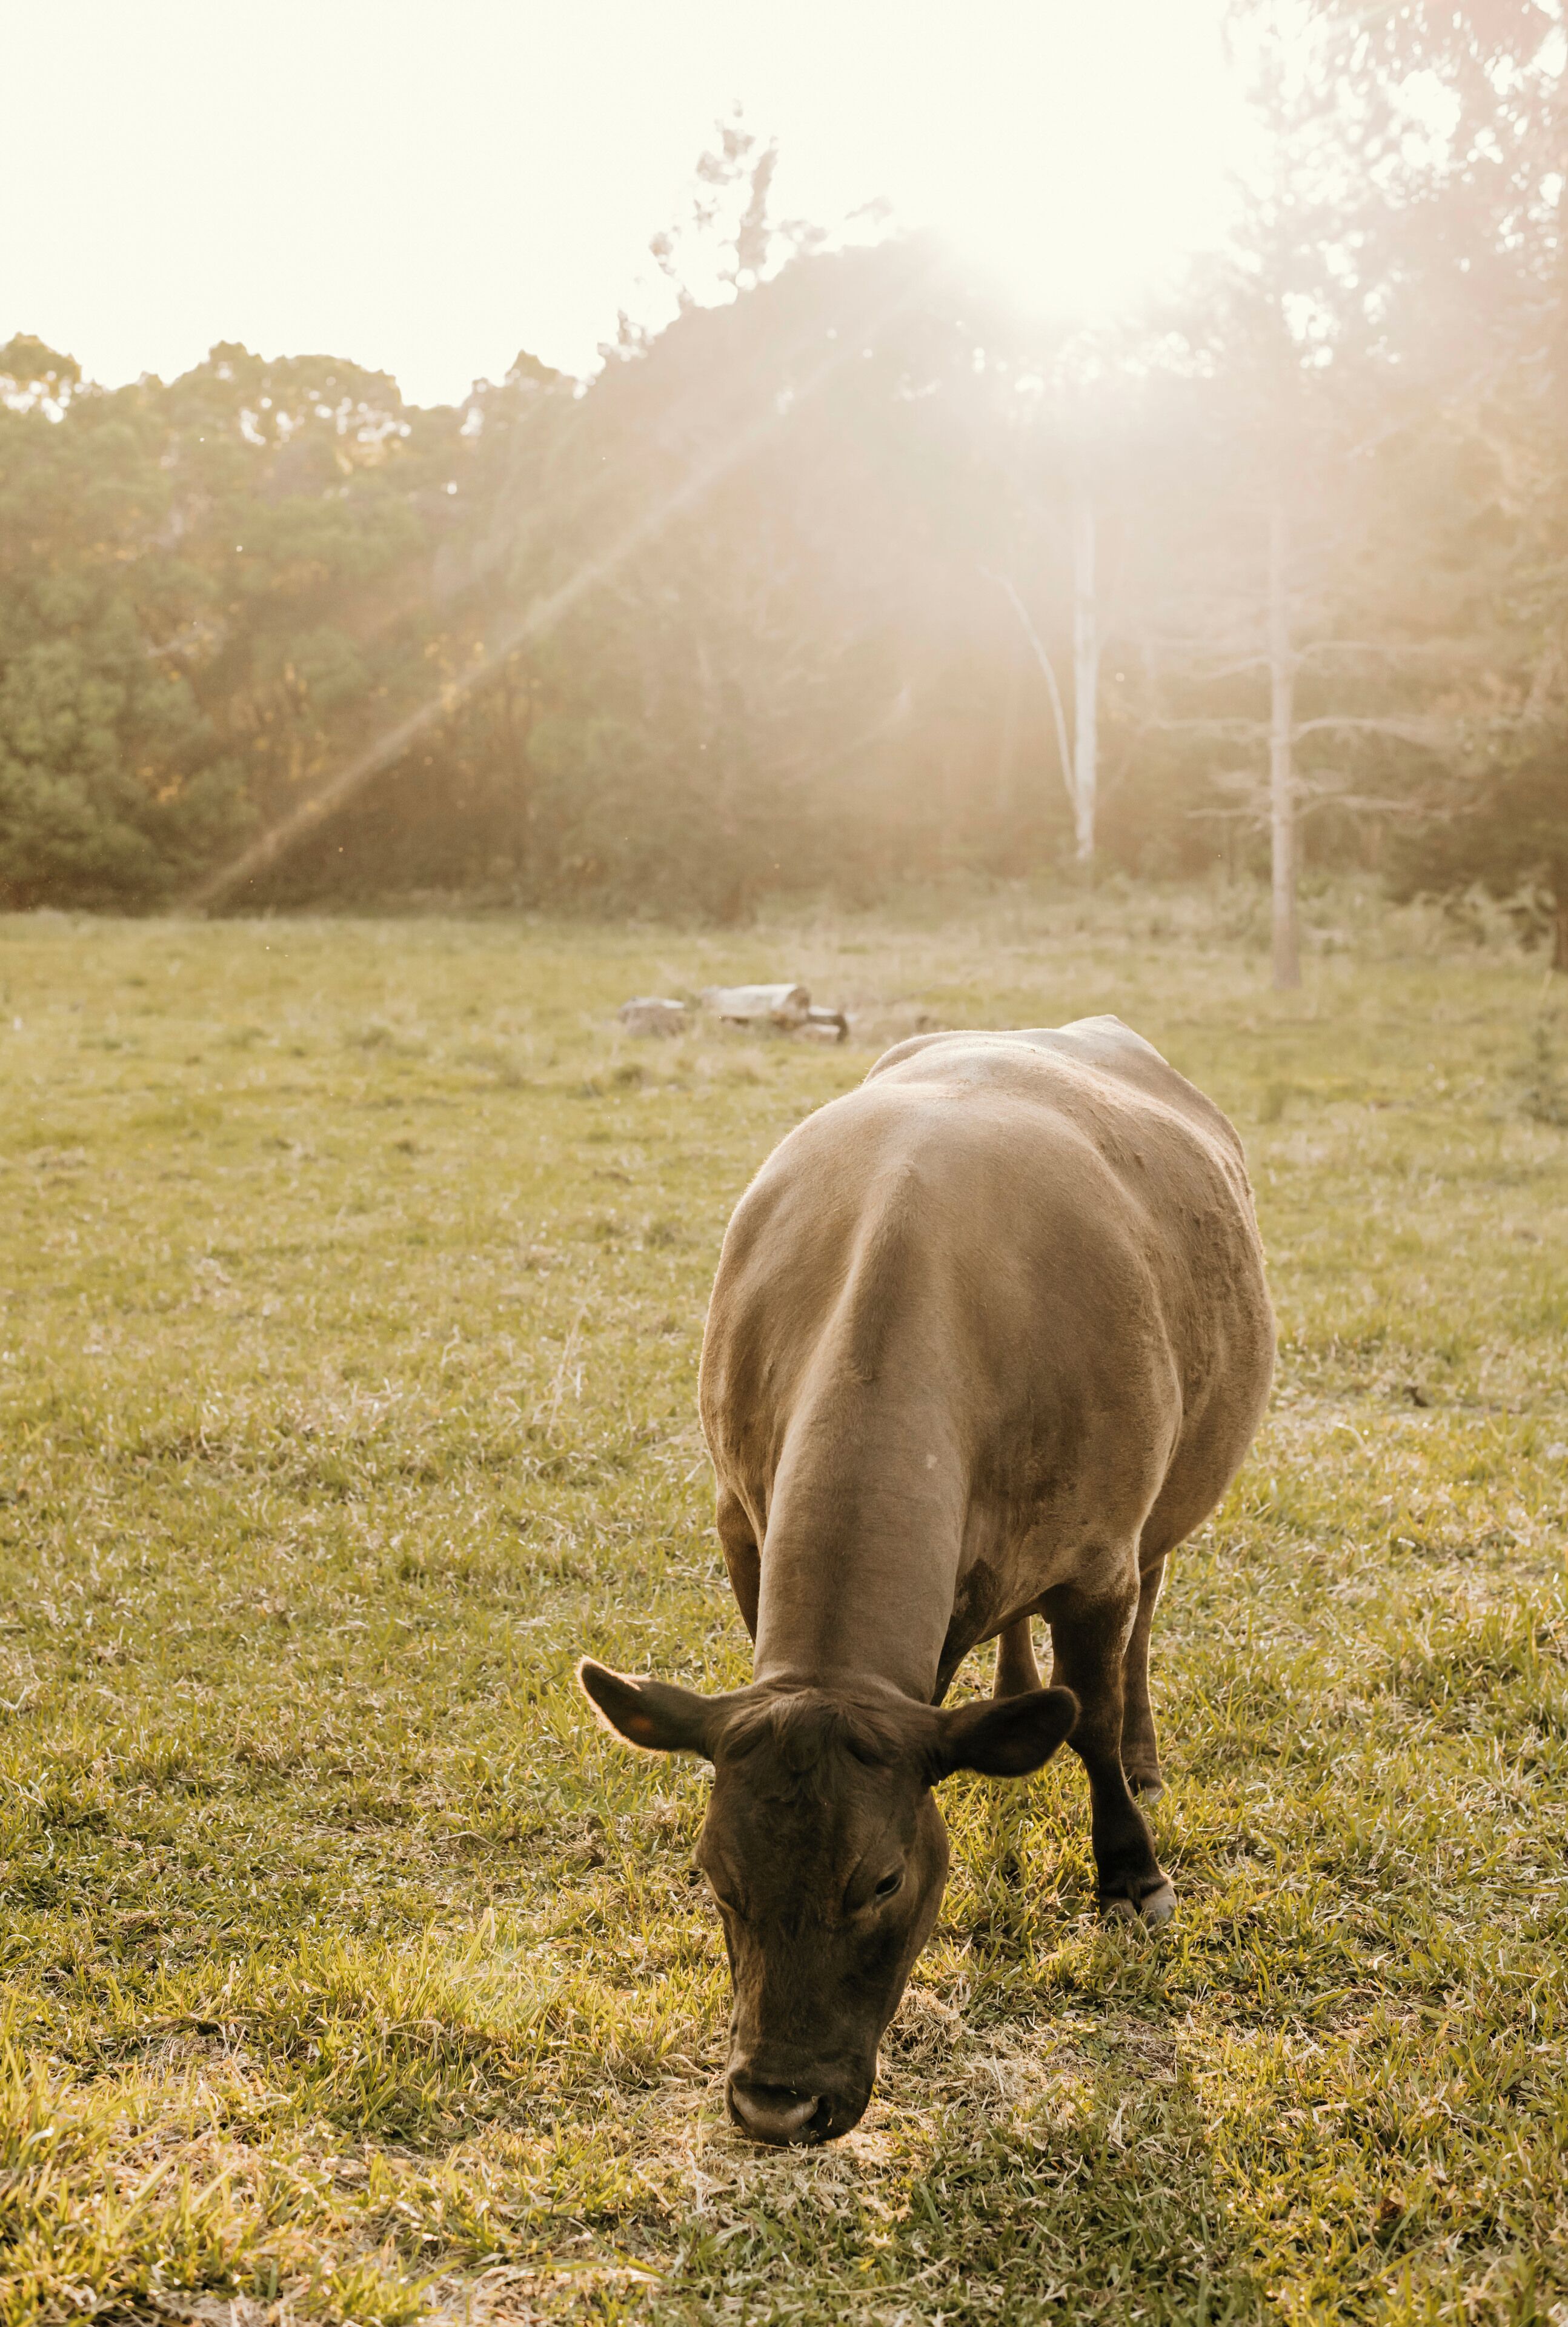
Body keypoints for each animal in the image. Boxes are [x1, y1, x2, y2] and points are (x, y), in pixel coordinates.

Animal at [580, 1019, 1274, 2146]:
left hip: (1168, 1507)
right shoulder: (741, 1525)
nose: (775, 2103)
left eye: (884, 1880)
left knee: (1138, 1631)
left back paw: (1138, 1749)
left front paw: (1129, 1872)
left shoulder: (1099, 1559)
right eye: (714, 1877)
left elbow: (1088, 1714)